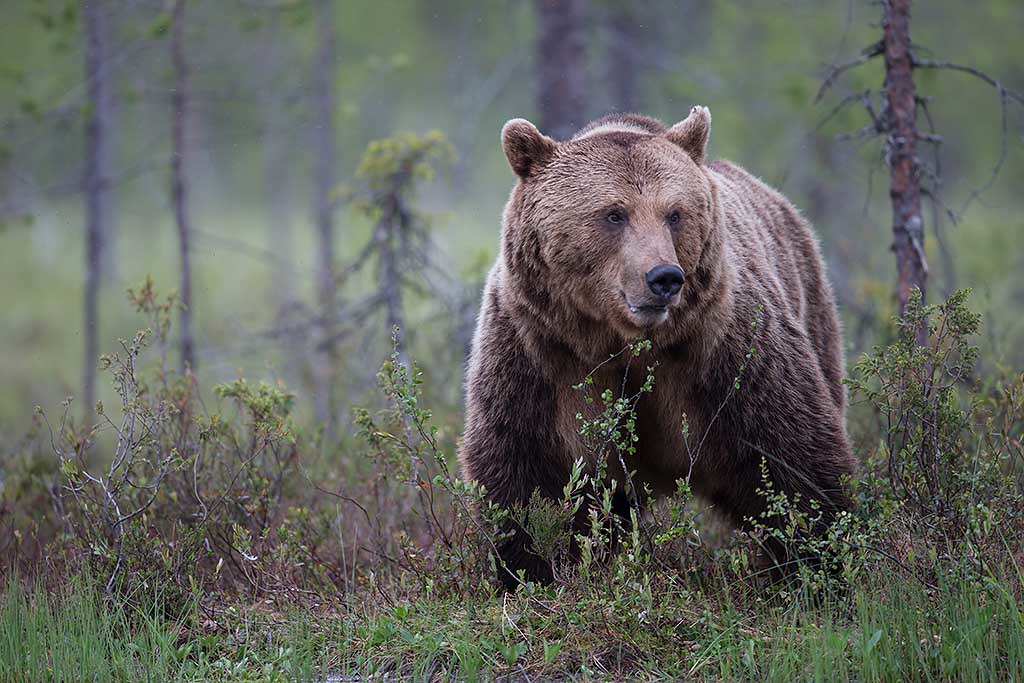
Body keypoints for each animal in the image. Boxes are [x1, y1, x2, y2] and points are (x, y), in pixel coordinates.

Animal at [460, 107, 851, 589]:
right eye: (614, 214)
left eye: (675, 213)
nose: (664, 277)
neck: (623, 341)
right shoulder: (540, 353)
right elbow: (525, 472)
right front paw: (530, 569)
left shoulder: (725, 348)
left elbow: (790, 455)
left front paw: (822, 564)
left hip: (811, 309)